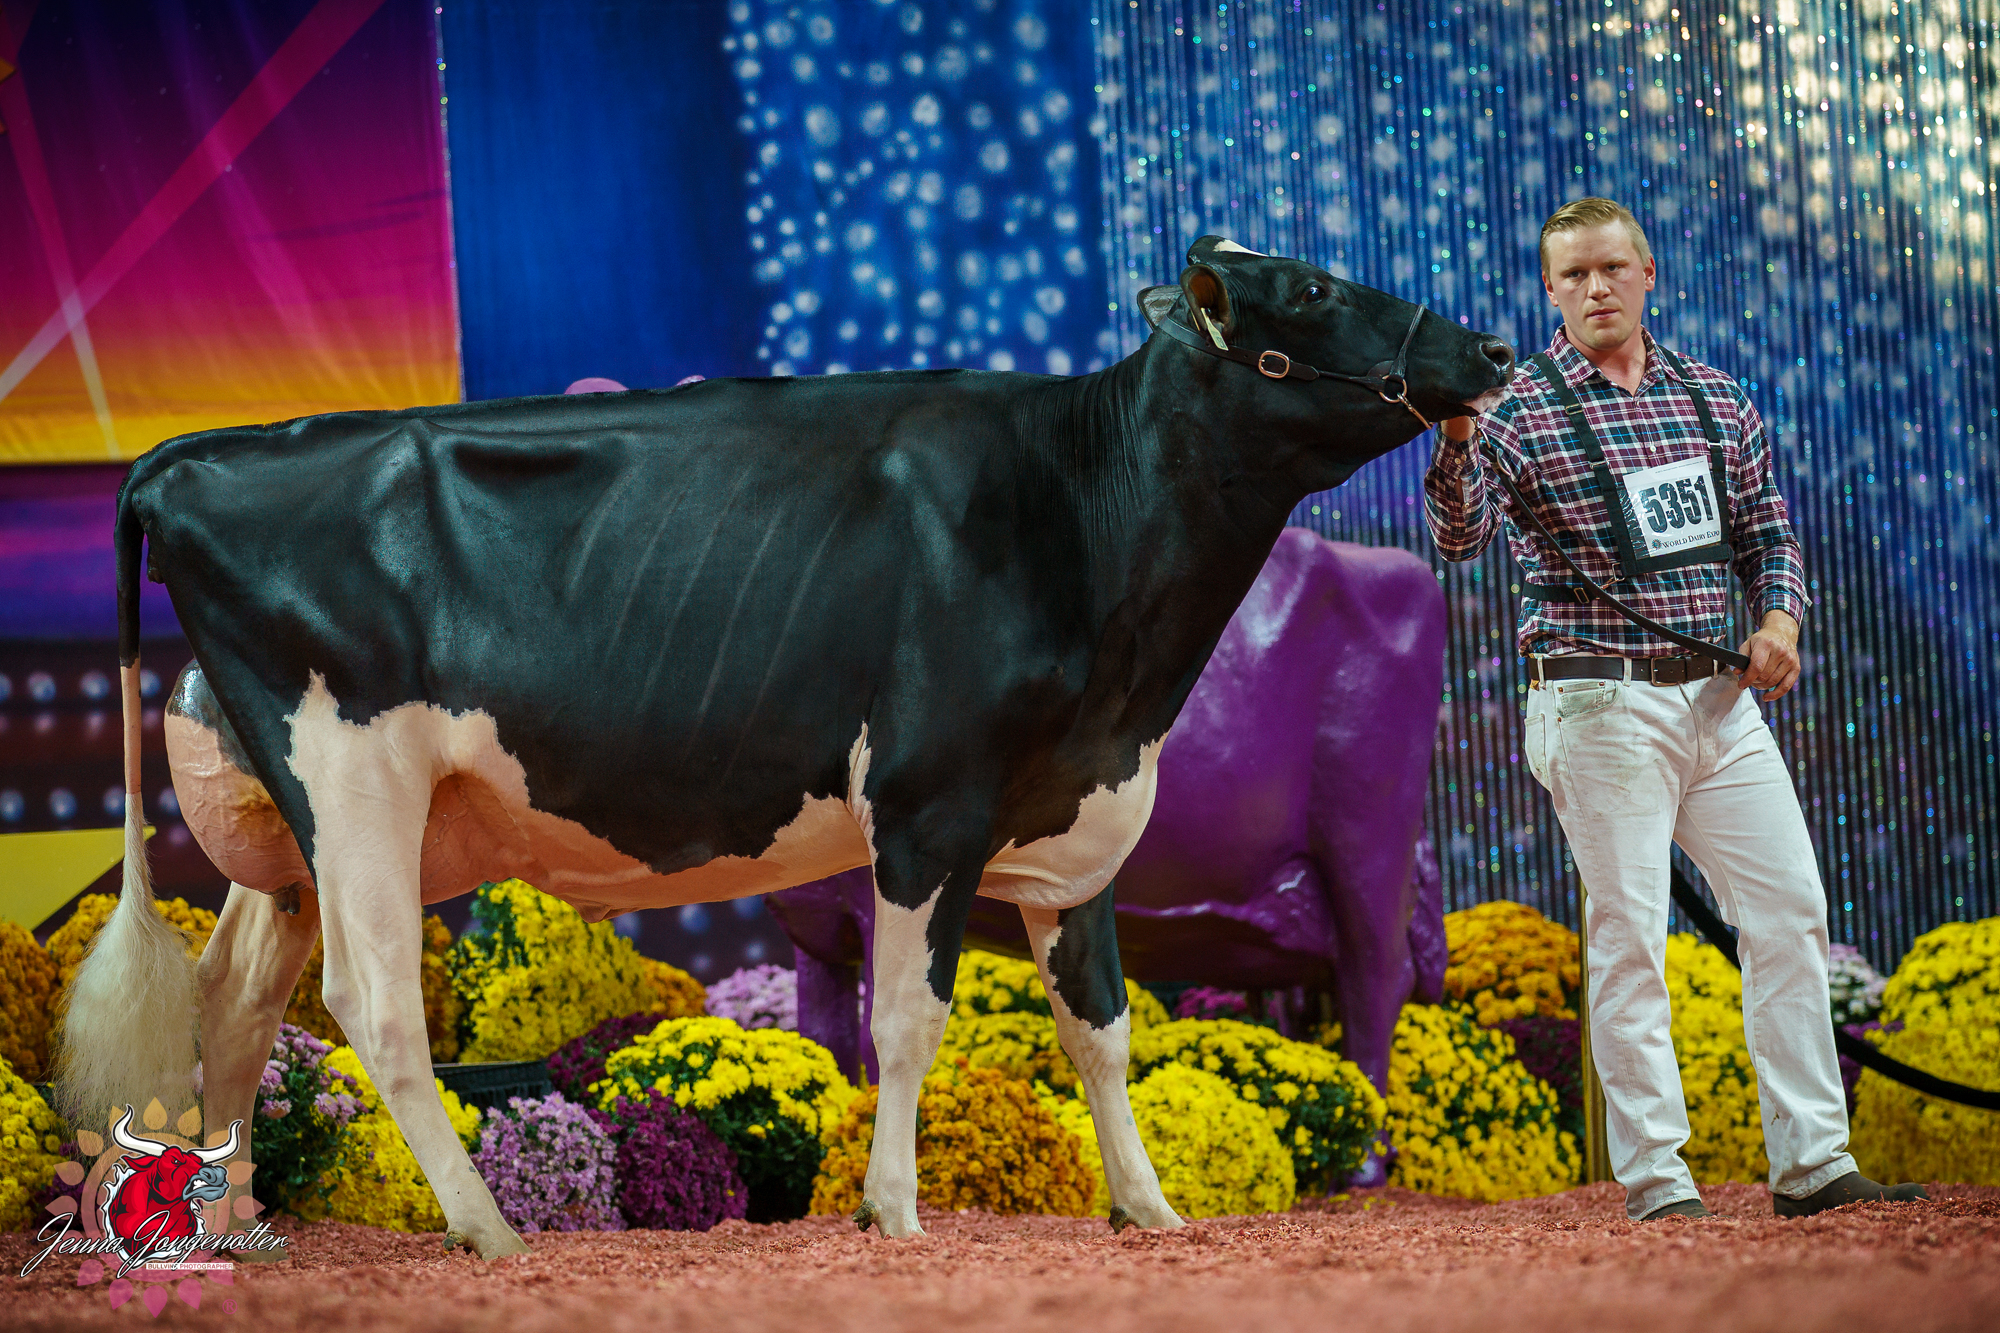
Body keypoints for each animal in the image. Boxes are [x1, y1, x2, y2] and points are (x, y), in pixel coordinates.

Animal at [58, 236, 1512, 1259]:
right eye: (1314, 288)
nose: (1496, 345)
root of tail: (195, 454)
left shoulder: (1077, 819)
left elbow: (1098, 1031)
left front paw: (1148, 1209)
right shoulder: (928, 807)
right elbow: (907, 1021)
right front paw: (893, 1210)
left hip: (285, 832)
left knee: (235, 997)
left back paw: (233, 1217)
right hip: (354, 779)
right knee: (374, 1006)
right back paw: (484, 1227)